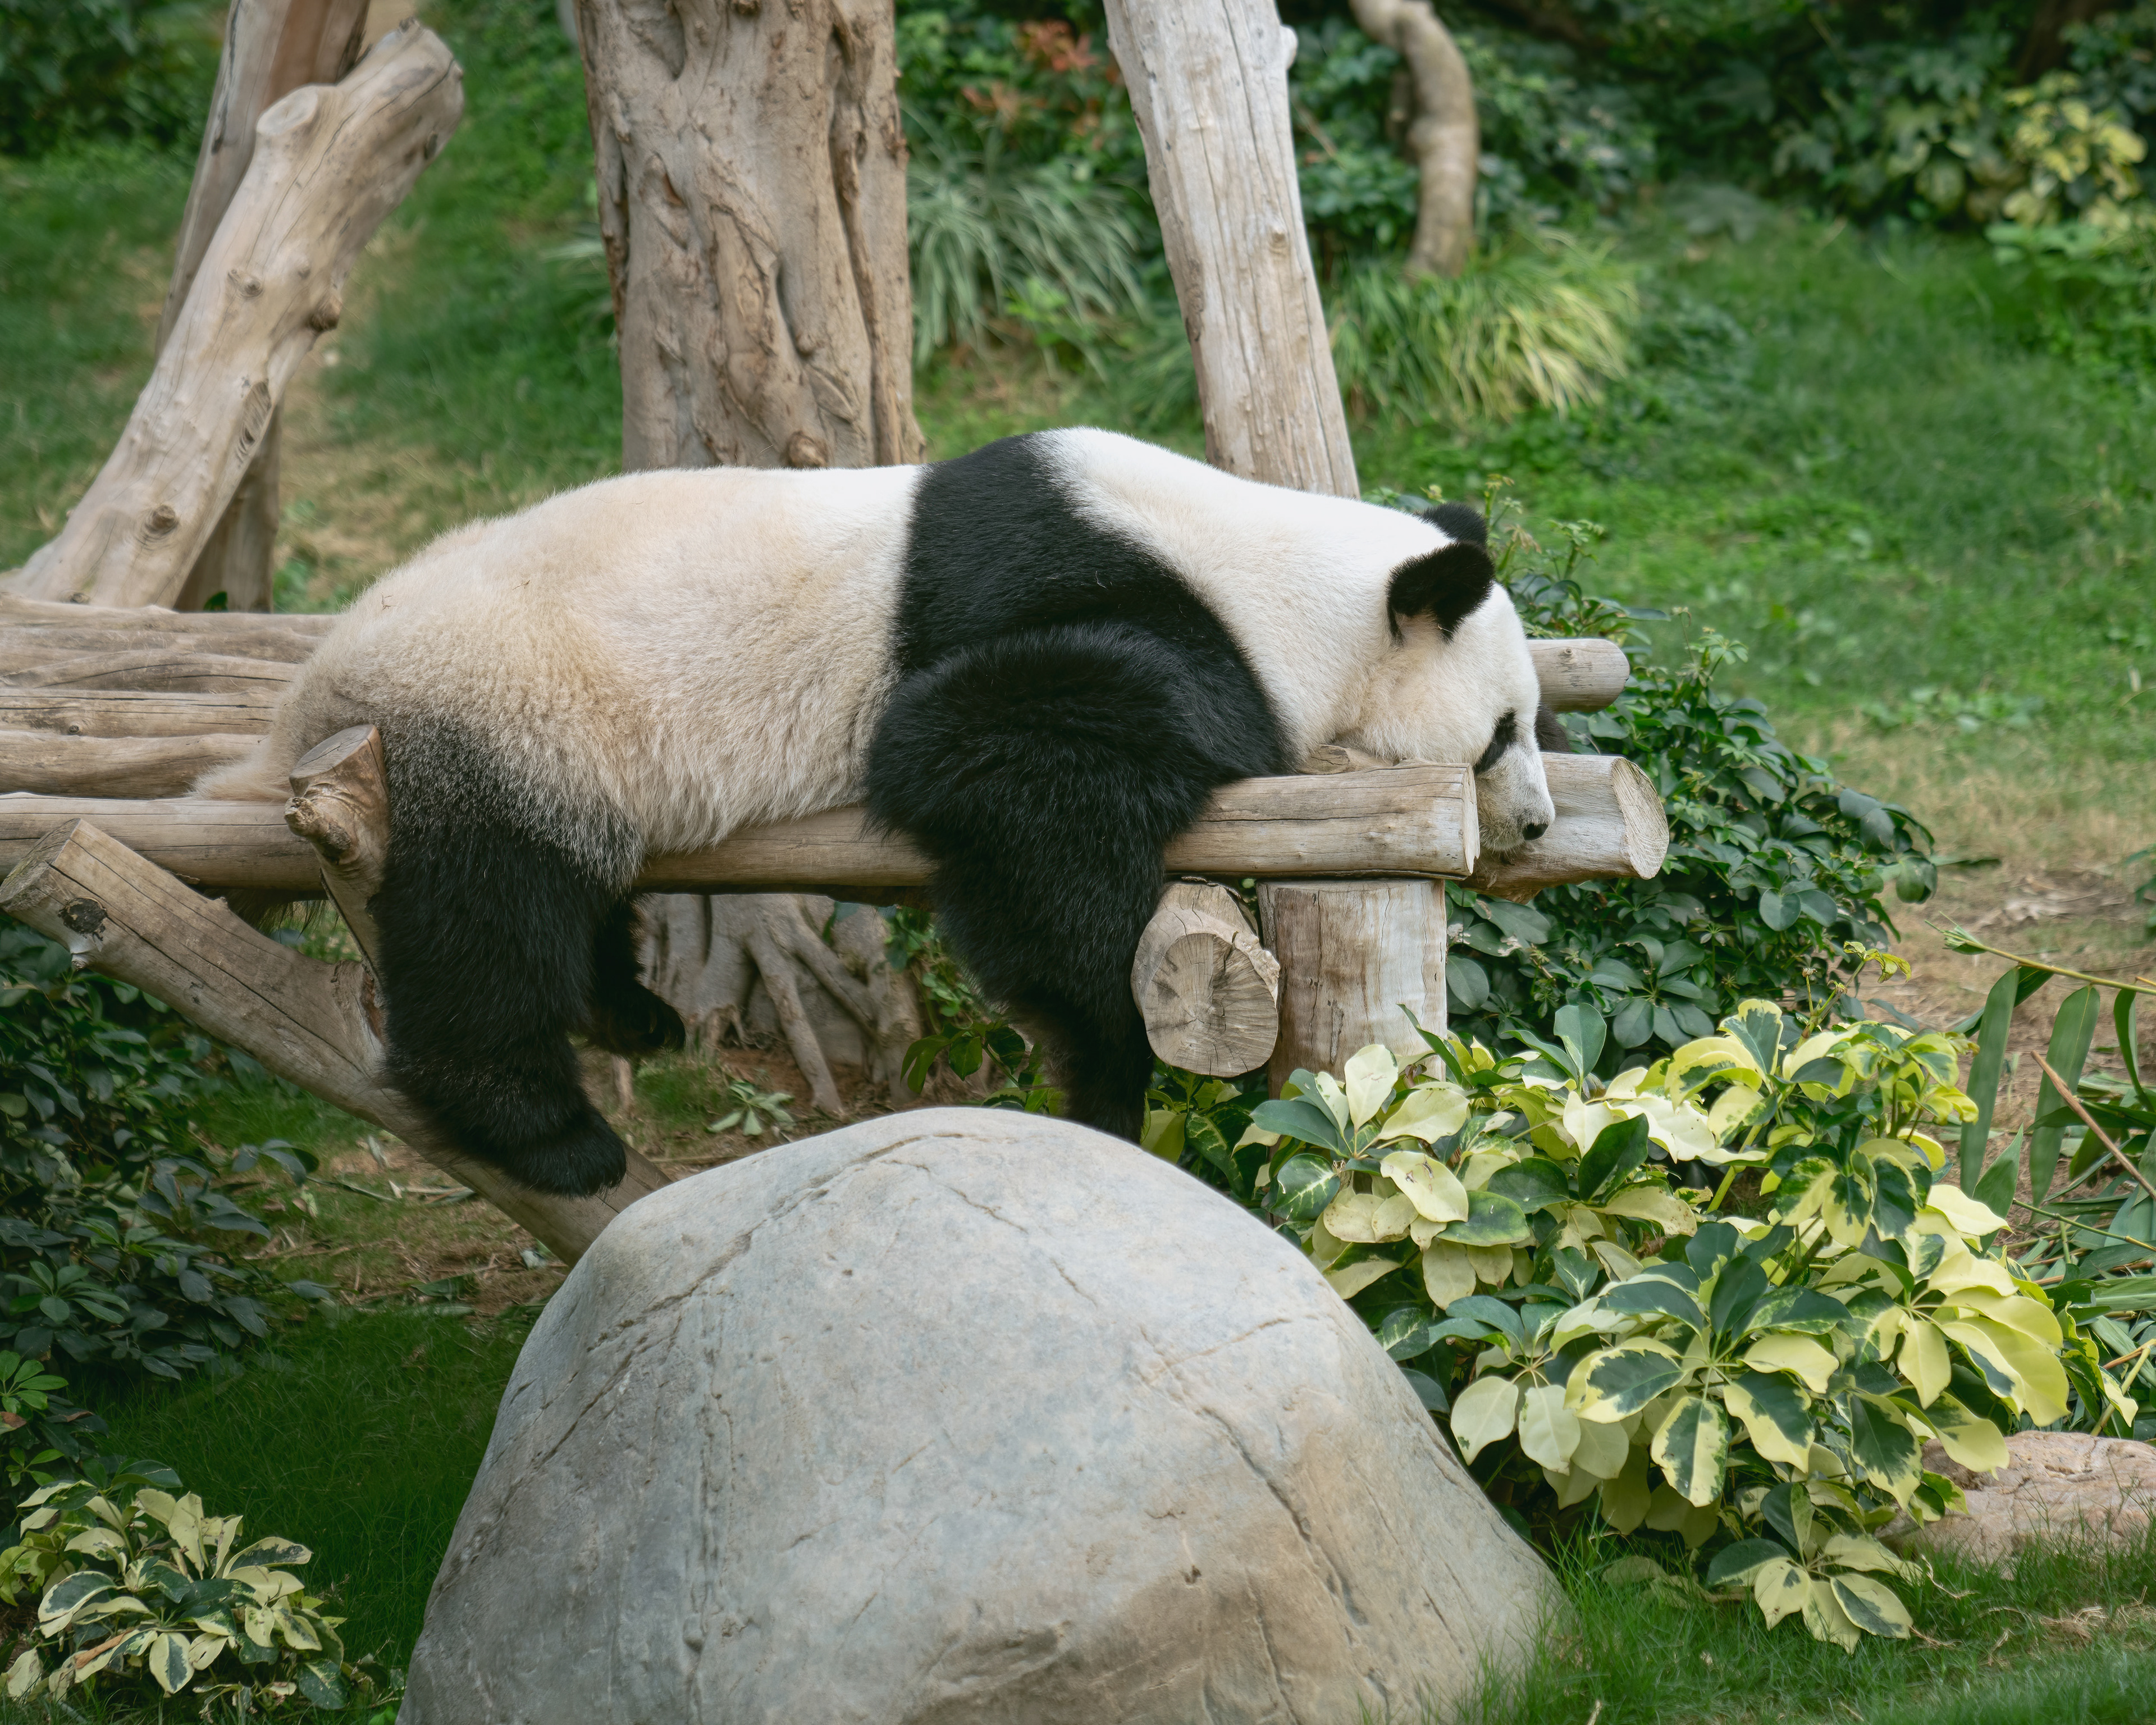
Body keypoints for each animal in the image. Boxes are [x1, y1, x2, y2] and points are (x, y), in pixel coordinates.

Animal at [203, 428, 1563, 1196]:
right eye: (1503, 732)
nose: (1542, 825)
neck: (1276, 574)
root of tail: (305, 704)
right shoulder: (1078, 592)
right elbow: (985, 758)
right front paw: (1107, 1073)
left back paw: (631, 1010)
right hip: (501, 710)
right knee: (488, 910)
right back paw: (544, 1128)